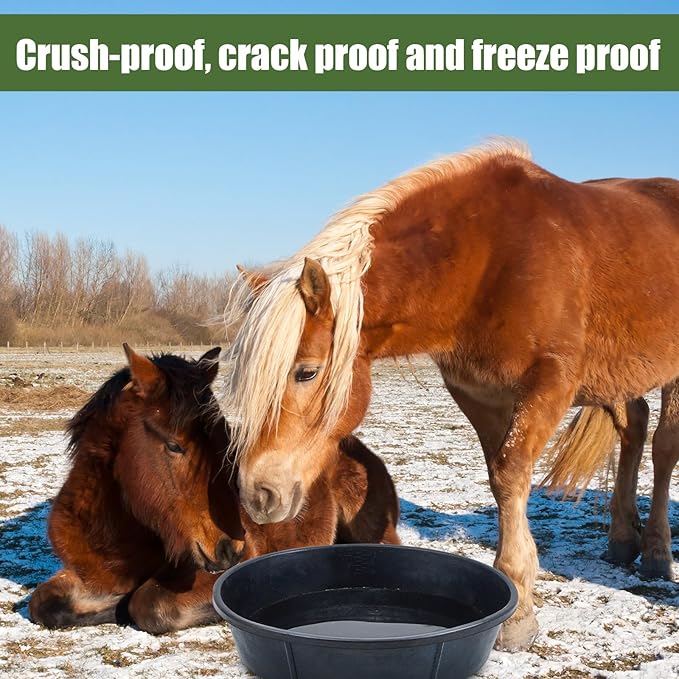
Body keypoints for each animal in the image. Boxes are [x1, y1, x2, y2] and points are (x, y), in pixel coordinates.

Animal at [222, 139, 679, 651]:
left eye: (306, 372)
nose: (257, 494)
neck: (490, 256)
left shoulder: (549, 382)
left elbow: (511, 473)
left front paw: (517, 609)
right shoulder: (479, 394)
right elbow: (501, 479)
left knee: (664, 448)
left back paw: (656, 551)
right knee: (633, 427)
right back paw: (622, 539)